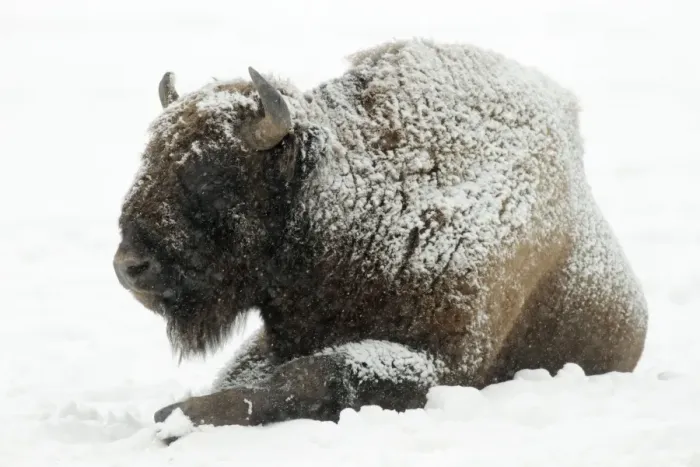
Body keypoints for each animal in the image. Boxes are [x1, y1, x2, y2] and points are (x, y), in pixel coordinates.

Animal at [113, 39, 648, 438]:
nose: (129, 266)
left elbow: (318, 374)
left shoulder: (447, 362)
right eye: (149, 158)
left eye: (210, 174)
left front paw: (176, 417)